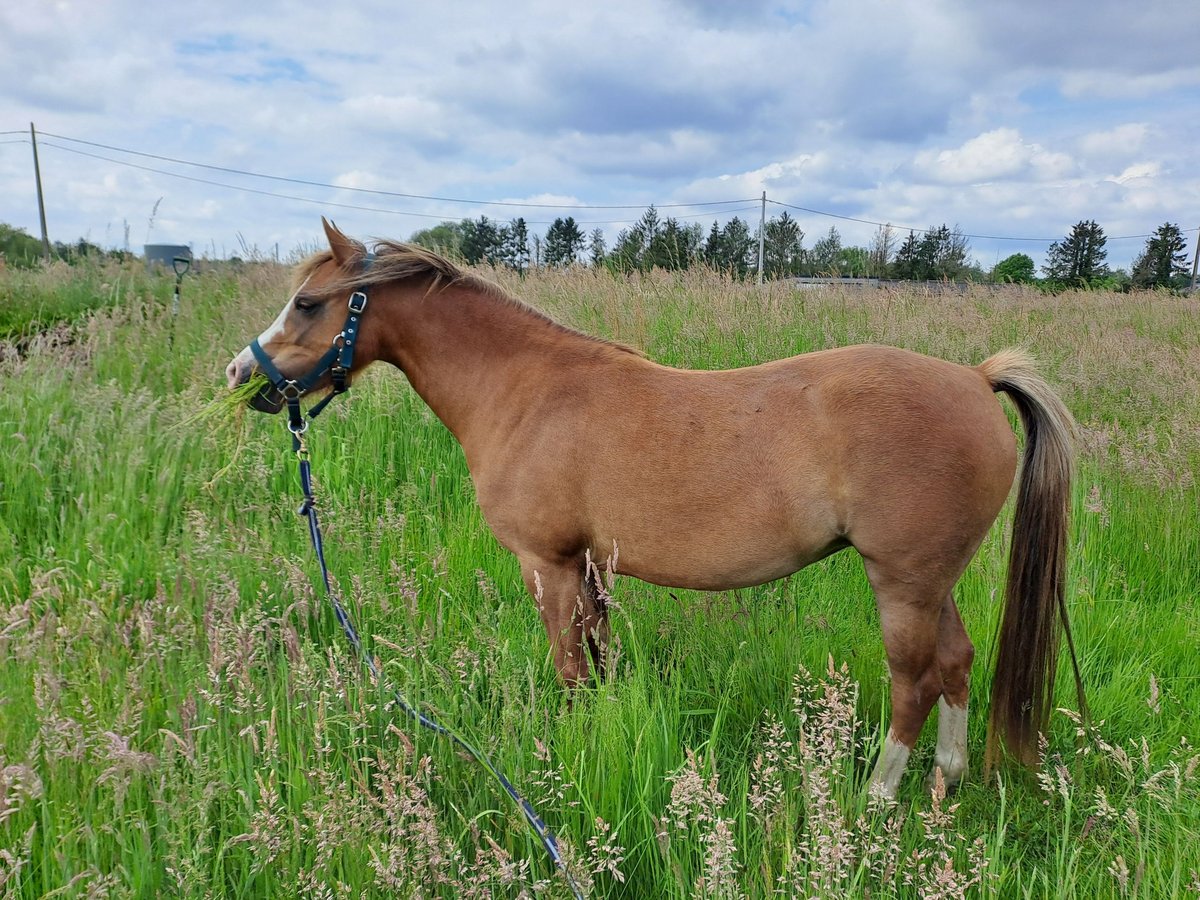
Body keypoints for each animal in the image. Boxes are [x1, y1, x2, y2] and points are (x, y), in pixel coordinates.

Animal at [223, 218, 1080, 796]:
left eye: (307, 304)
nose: (239, 374)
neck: (525, 388)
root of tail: (975, 378)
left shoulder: (549, 564)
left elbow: (570, 668)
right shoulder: (591, 567)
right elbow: (599, 661)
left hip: (901, 583)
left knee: (916, 678)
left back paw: (875, 797)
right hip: (931, 582)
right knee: (958, 662)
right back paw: (945, 782)